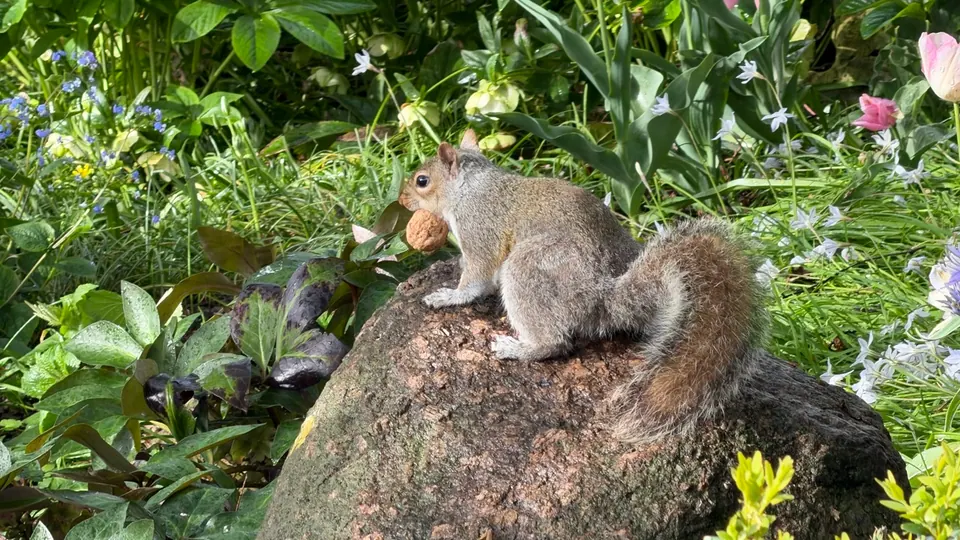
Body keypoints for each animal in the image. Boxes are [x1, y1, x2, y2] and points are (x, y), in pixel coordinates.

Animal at [398, 129, 768, 444]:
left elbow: (476, 275)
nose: (401, 200)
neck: (470, 188)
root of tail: (603, 296)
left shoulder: (479, 230)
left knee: (555, 342)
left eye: (422, 181)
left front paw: (449, 296)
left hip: (529, 267)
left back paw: (519, 348)